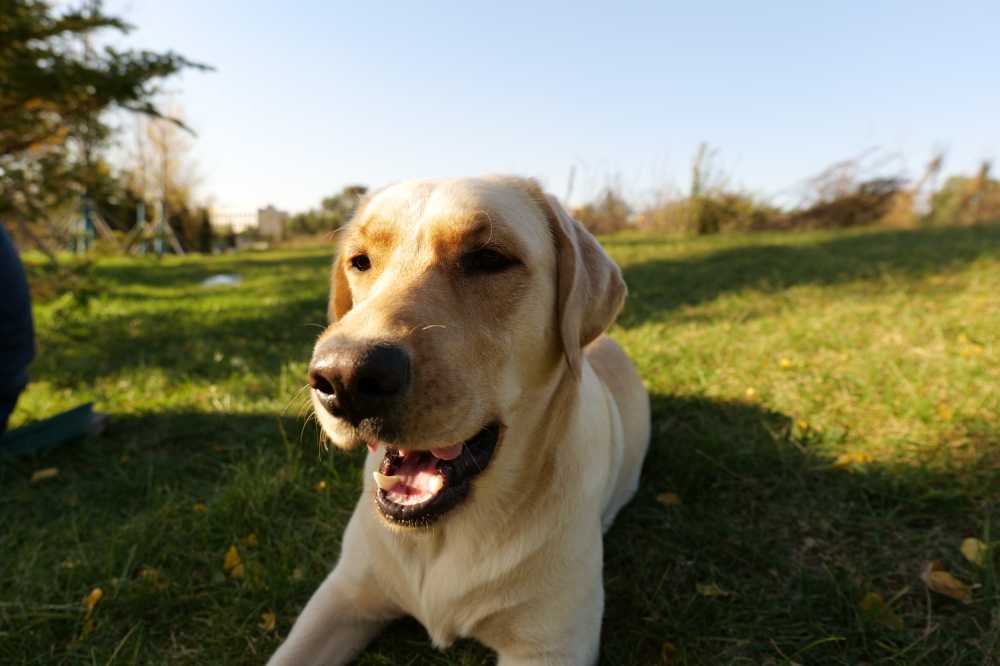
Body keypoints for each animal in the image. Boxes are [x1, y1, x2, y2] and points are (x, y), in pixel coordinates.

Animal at [270, 176, 652, 664]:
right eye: (360, 261)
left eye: (488, 259)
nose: (343, 377)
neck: (444, 534)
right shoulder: (344, 595)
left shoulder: (551, 646)